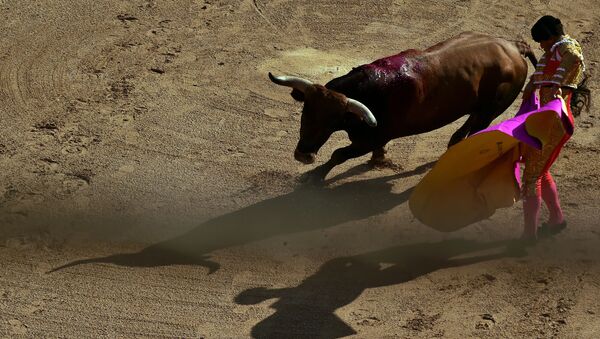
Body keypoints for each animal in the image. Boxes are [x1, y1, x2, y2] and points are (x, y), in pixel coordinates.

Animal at [270, 31, 536, 183]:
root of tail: (514, 46)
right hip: (480, 106)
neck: (370, 92)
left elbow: (338, 154)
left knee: (478, 127)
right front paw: (379, 160)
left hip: (492, 109)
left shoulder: (372, 138)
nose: (303, 155)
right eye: (305, 113)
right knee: (469, 123)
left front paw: (314, 176)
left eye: (331, 122)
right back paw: (452, 145)